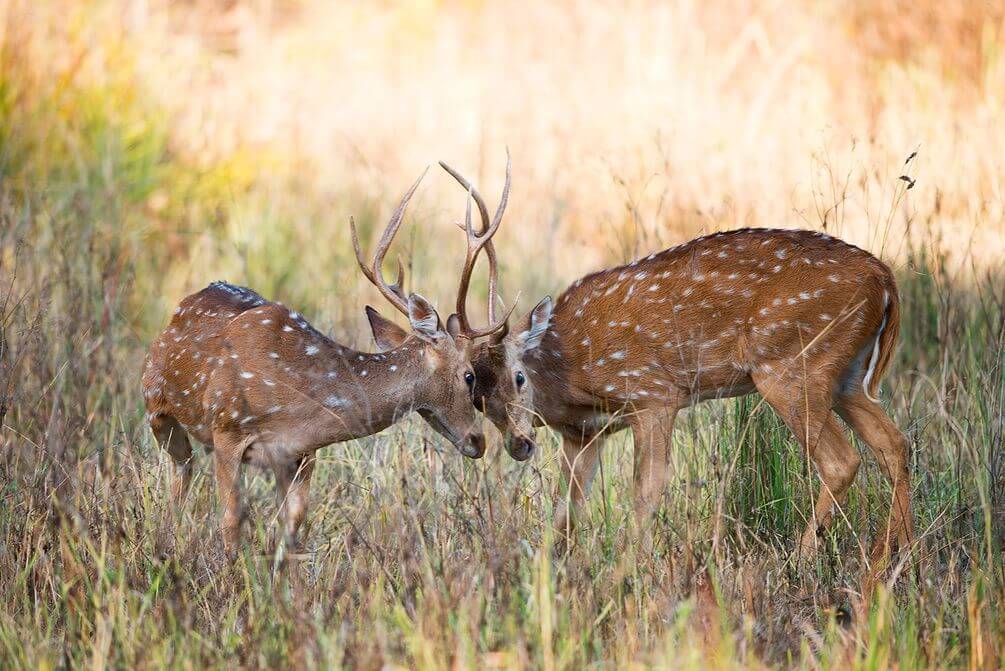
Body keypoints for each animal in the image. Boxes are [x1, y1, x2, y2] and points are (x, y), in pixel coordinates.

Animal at [143, 170, 500, 554]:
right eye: (469, 376)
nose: (479, 441)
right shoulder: (227, 430)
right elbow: (231, 520)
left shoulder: (302, 453)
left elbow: (293, 525)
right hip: (156, 407)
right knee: (181, 472)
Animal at [367, 157, 912, 562]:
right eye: (476, 394)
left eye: (518, 377)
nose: (519, 445)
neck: (571, 377)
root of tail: (884, 278)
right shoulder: (583, 434)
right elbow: (567, 511)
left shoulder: (654, 394)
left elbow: (645, 492)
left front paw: (632, 571)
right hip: (846, 375)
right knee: (895, 444)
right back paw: (894, 556)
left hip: (790, 364)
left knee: (842, 460)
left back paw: (805, 559)